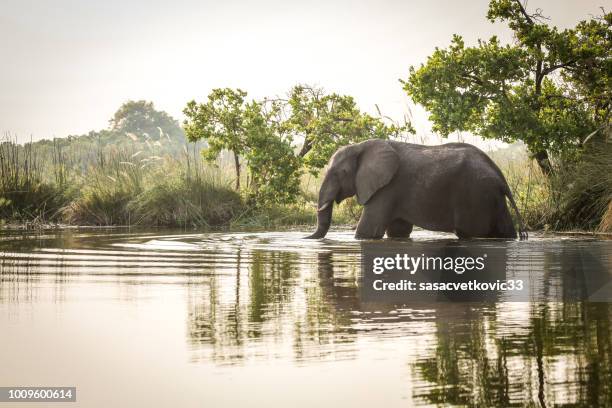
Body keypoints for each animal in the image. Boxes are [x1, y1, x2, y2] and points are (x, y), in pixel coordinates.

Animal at [308, 139, 528, 239]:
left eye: (340, 173)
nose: (306, 238)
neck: (361, 145)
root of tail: (500, 177)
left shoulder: (387, 188)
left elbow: (368, 231)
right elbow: (398, 232)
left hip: (475, 196)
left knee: (471, 233)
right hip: (493, 198)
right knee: (505, 230)